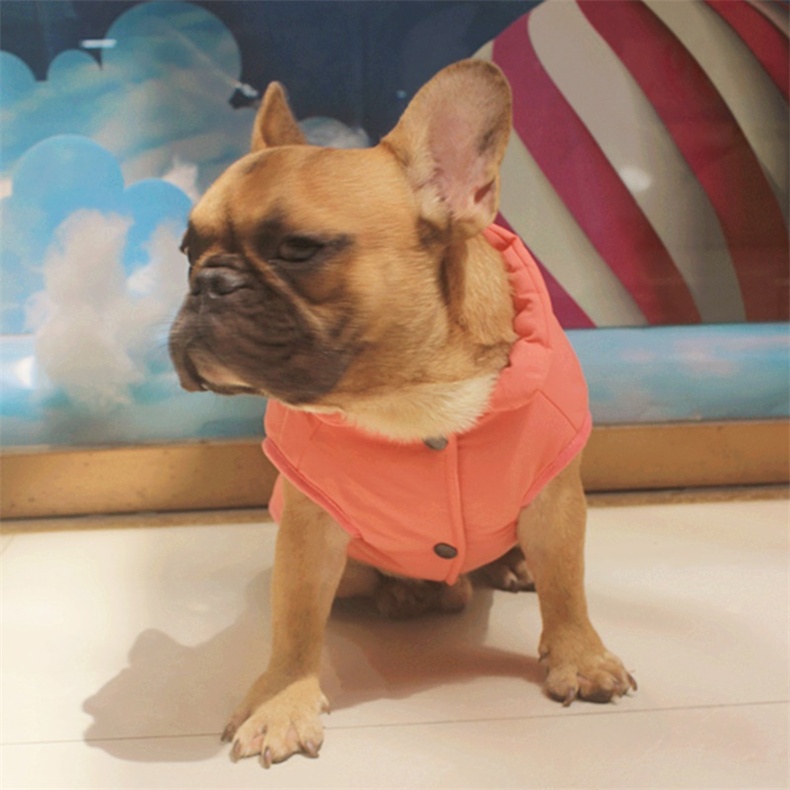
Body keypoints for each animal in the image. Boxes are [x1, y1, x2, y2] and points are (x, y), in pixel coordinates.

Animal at [169, 59, 636, 767]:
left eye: (299, 249)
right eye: (186, 252)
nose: (207, 283)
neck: (409, 393)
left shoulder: (555, 496)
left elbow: (567, 583)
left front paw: (580, 656)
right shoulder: (308, 524)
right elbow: (295, 619)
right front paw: (282, 700)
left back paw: (509, 564)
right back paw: (412, 590)